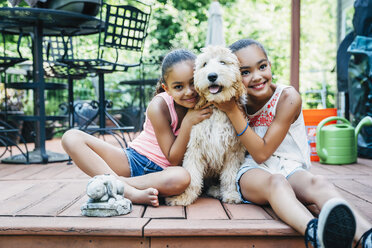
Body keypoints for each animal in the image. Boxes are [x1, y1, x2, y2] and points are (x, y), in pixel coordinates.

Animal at [166, 45, 247, 206]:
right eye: (204, 64)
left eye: (223, 62)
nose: (212, 76)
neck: (216, 108)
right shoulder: (195, 149)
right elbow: (192, 178)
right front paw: (184, 197)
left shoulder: (233, 151)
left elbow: (230, 176)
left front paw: (231, 194)